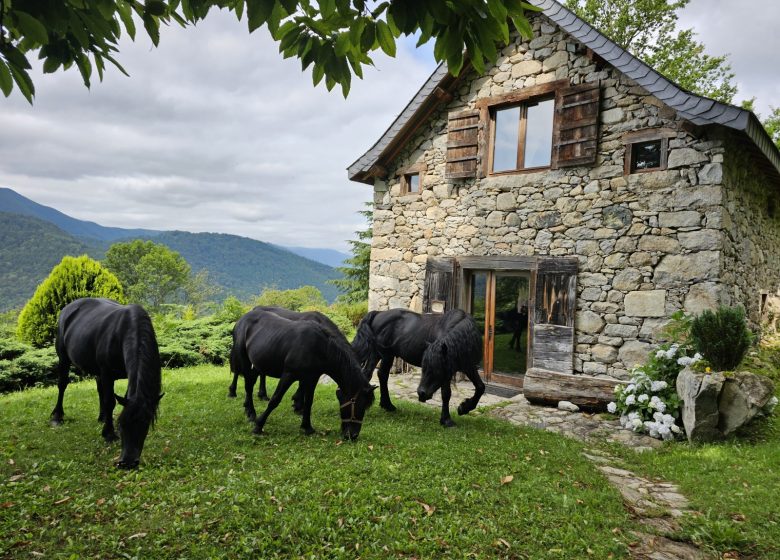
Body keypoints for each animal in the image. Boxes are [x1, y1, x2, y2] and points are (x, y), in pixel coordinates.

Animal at [51, 298, 164, 468]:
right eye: (122, 425)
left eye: (145, 424)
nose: (128, 463)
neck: (124, 332)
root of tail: (68, 308)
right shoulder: (107, 373)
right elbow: (110, 401)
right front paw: (109, 434)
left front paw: (108, 424)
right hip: (64, 358)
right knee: (62, 385)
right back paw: (57, 417)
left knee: (100, 390)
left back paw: (103, 417)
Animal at [229, 308, 374, 440]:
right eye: (357, 403)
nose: (353, 435)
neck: (319, 347)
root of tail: (243, 318)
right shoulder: (288, 375)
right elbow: (275, 400)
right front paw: (259, 426)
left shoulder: (311, 378)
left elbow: (308, 402)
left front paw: (307, 427)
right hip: (244, 359)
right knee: (247, 383)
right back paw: (250, 412)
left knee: (251, 381)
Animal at [352, 308, 484, 426]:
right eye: (424, 368)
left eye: (437, 370)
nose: (421, 393)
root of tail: (378, 313)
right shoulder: (448, 372)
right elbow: (446, 394)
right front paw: (447, 420)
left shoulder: (468, 366)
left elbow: (480, 387)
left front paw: (464, 408)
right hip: (383, 354)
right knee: (375, 374)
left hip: (382, 355)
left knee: (376, 375)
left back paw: (387, 405)